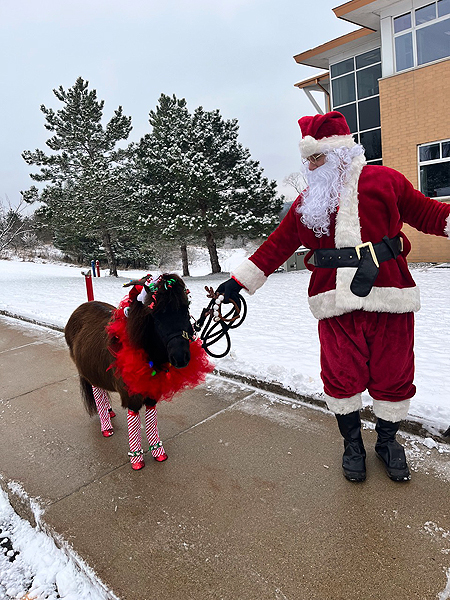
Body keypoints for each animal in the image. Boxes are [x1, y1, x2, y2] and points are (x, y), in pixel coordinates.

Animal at [65, 274, 211, 472]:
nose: (181, 357)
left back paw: (109, 412)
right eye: (156, 316)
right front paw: (137, 460)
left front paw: (159, 453)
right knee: (97, 392)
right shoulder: (131, 395)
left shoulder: (152, 391)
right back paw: (106, 426)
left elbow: (151, 420)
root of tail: (81, 308)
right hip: (90, 371)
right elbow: (133, 422)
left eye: (185, 309)